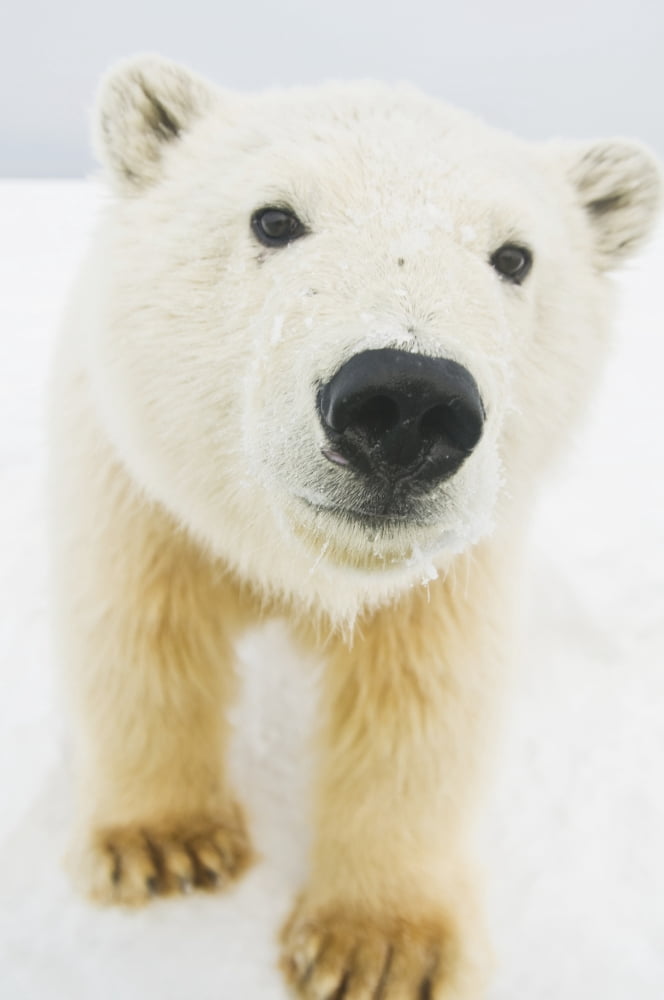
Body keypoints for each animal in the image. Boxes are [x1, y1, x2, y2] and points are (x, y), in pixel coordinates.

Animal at [47, 54, 661, 999]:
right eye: (273, 217)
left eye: (514, 256)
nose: (405, 403)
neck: (303, 565)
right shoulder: (142, 494)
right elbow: (140, 628)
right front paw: (163, 845)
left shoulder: (447, 574)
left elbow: (421, 697)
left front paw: (377, 946)